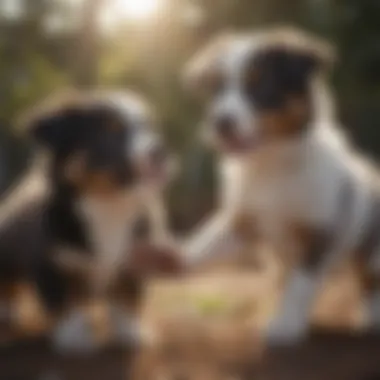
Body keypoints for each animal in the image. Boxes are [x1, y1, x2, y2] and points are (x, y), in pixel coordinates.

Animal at [0, 90, 178, 352]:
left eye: (148, 126)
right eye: (110, 130)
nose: (160, 151)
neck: (107, 203)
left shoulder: (134, 260)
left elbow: (127, 296)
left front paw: (130, 333)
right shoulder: (50, 263)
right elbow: (64, 301)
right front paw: (74, 338)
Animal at [182, 26, 380, 346]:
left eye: (260, 86)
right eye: (217, 90)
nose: (220, 122)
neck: (270, 162)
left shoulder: (320, 232)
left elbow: (300, 284)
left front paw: (285, 326)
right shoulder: (243, 221)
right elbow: (204, 244)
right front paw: (168, 258)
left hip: (370, 243)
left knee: (368, 276)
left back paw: (371, 316)